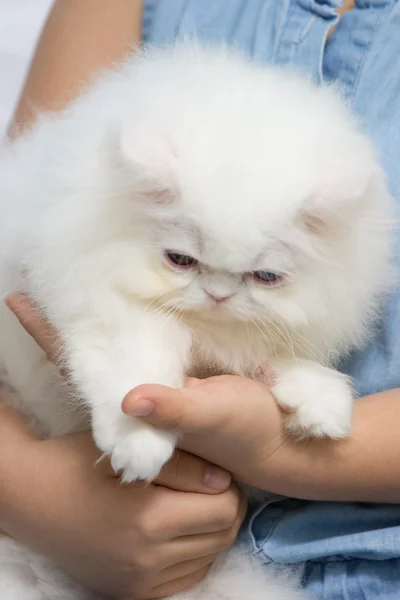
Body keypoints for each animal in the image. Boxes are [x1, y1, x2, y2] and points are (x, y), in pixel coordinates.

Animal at [0, 44, 394, 596]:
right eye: (181, 260)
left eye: (265, 276)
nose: (219, 294)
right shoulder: (111, 306)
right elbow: (139, 365)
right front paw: (139, 442)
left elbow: (278, 359)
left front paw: (320, 404)